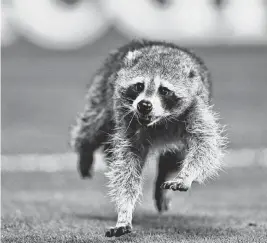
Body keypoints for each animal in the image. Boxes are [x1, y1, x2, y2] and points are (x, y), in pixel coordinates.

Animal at [70, 39, 227, 237]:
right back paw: (84, 150)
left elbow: (205, 146)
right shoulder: (127, 120)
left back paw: (164, 179)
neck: (159, 120)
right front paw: (124, 211)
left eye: (164, 90)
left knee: (176, 156)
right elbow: (126, 166)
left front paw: (186, 175)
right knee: (93, 125)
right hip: (103, 91)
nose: (144, 105)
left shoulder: (195, 107)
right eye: (139, 86)